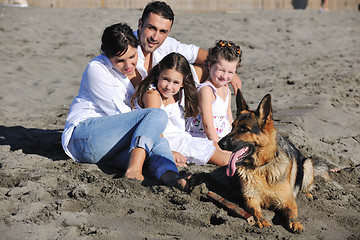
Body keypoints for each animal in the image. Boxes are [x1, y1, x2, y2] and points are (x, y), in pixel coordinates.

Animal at [218, 90, 314, 232]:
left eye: (244, 129)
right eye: (232, 127)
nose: (220, 143)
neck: (261, 167)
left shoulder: (288, 201)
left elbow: (292, 212)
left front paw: (295, 222)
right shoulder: (251, 199)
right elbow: (256, 212)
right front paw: (261, 220)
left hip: (307, 164)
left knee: (306, 185)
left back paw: (307, 194)